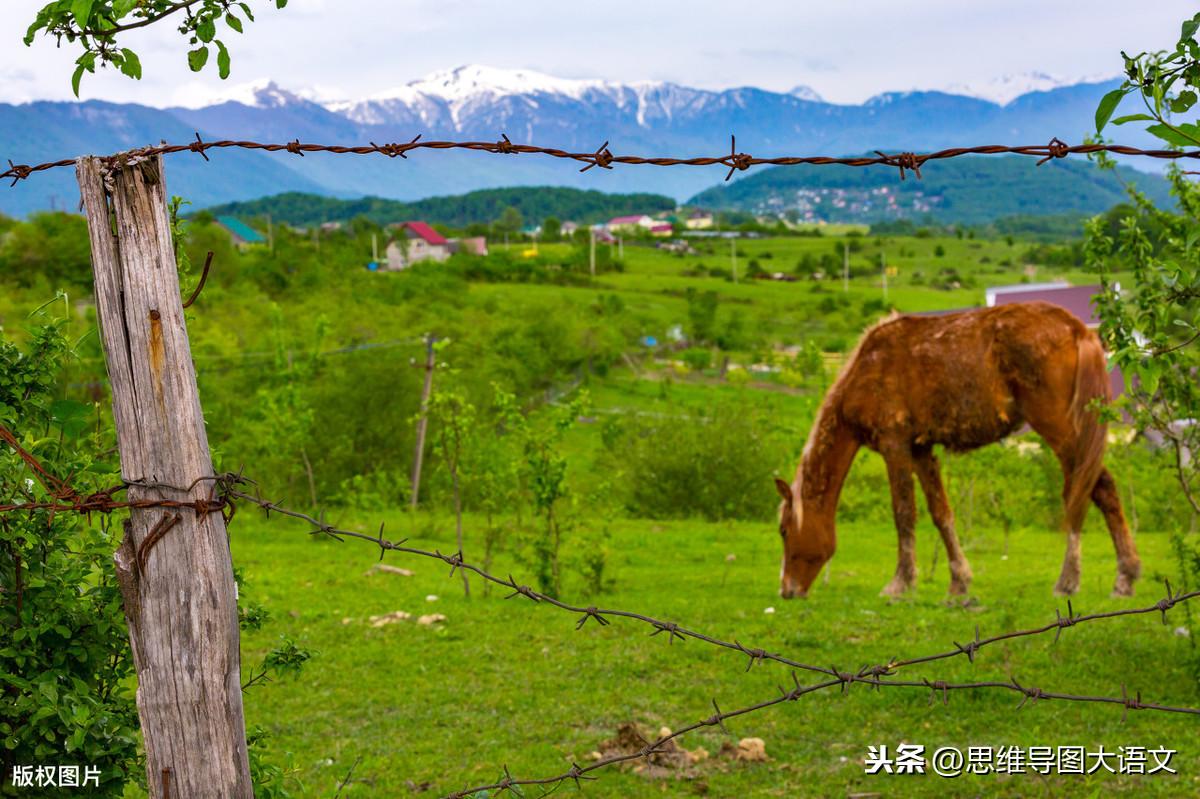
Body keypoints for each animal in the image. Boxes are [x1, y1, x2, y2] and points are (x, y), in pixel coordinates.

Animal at [777, 299, 1142, 597]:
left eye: (783, 530)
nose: (787, 590)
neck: (866, 370)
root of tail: (1078, 329)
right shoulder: (921, 450)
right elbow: (941, 513)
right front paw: (959, 583)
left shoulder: (895, 446)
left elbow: (903, 513)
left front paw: (900, 584)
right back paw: (1122, 576)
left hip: (1062, 430)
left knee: (1093, 490)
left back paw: (1078, 580)